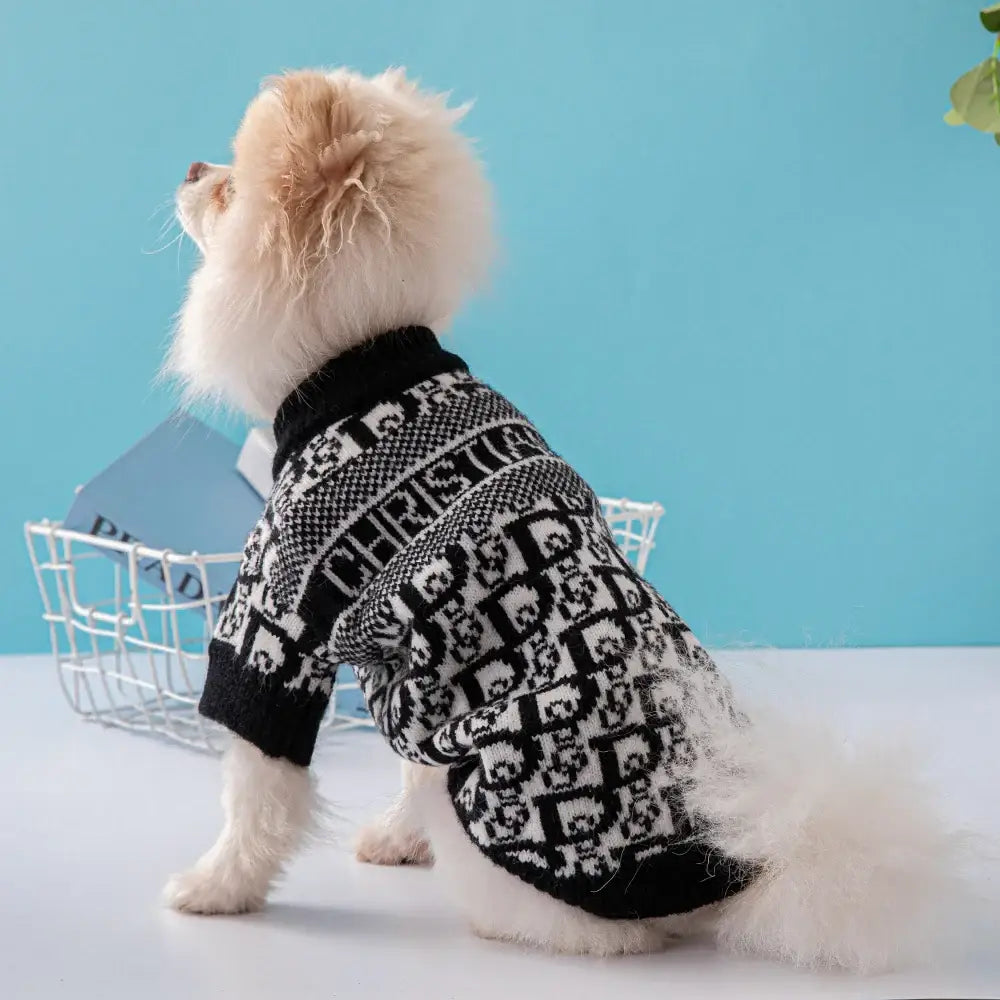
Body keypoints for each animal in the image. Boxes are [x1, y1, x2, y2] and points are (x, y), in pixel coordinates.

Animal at [166, 68, 968, 968]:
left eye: (230, 185)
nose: (190, 166)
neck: (363, 360)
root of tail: (741, 873)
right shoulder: (416, 681)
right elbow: (404, 757)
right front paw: (384, 840)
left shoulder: (279, 617)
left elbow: (256, 785)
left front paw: (215, 890)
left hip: (493, 818)